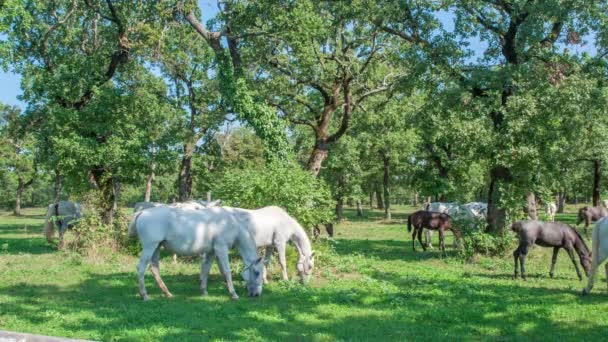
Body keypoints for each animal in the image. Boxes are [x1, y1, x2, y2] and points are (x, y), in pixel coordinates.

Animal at [128, 206, 264, 300]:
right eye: (257, 272)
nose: (257, 294)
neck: (229, 223)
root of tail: (142, 212)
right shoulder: (221, 248)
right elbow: (227, 271)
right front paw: (233, 294)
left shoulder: (211, 252)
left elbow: (206, 270)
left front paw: (204, 291)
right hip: (150, 246)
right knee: (141, 268)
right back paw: (145, 295)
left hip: (156, 247)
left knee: (154, 268)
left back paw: (167, 293)